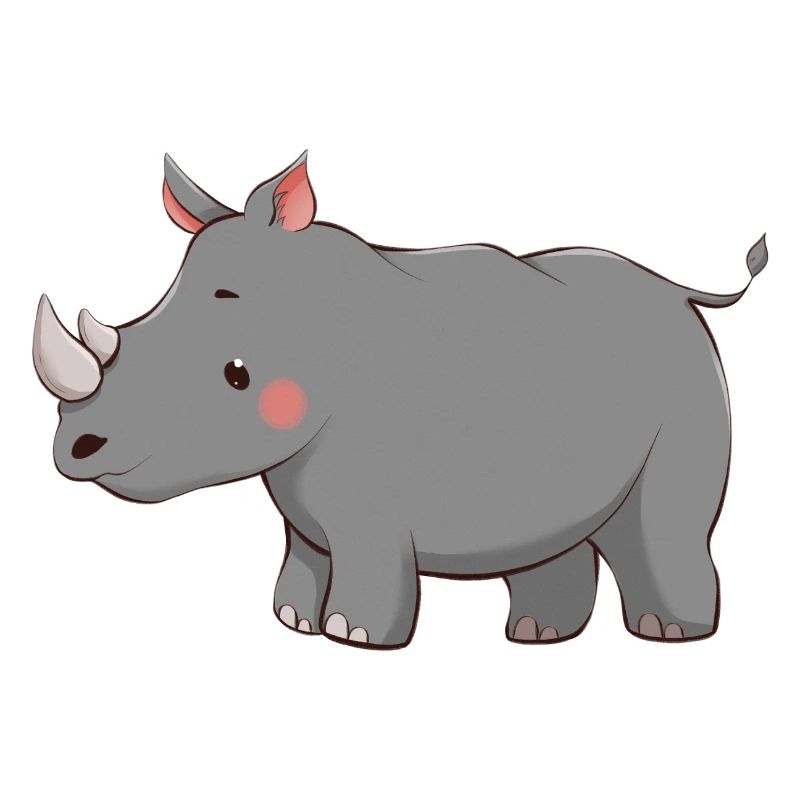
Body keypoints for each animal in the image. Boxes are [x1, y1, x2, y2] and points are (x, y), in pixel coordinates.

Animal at [33, 152, 768, 648]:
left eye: (236, 374)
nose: (76, 449)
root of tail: (676, 290)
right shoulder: (301, 492)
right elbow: (306, 550)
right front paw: (293, 622)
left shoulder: (372, 501)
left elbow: (366, 555)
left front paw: (351, 636)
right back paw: (537, 635)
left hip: (686, 374)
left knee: (662, 524)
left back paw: (669, 634)